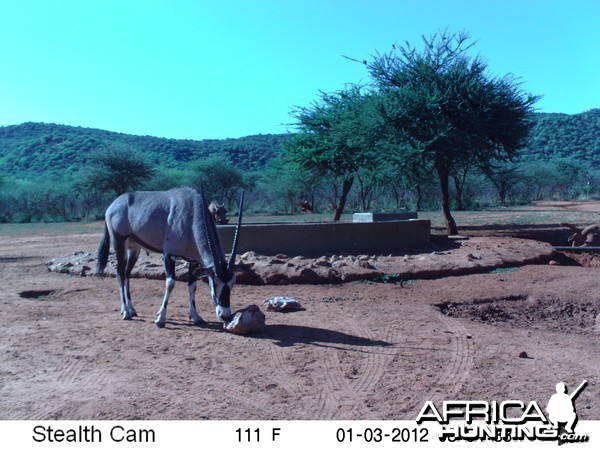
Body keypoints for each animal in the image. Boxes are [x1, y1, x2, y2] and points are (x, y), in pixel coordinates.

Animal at [97, 185, 247, 326]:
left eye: (233, 283)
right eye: (214, 283)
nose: (225, 316)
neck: (191, 213)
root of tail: (113, 205)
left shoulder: (193, 261)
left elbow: (192, 286)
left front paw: (196, 316)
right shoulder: (169, 255)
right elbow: (170, 283)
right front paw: (160, 319)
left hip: (134, 249)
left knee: (127, 274)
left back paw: (132, 309)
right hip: (119, 243)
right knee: (120, 274)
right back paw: (126, 312)